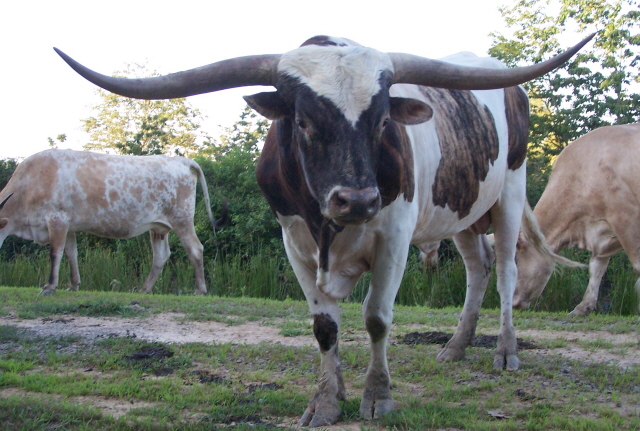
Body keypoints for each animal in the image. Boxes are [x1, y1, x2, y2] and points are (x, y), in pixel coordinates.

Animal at [0, 149, 227, 295]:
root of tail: (181, 161)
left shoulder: (57, 218)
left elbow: (55, 254)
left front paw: (49, 286)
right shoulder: (69, 225)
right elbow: (71, 253)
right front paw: (73, 285)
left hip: (182, 219)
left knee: (195, 249)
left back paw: (200, 290)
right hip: (159, 227)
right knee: (161, 256)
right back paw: (144, 289)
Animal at [55, 33, 593, 426]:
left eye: (382, 122)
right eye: (304, 122)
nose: (356, 200)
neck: (329, 225)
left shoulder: (394, 238)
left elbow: (377, 318)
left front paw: (376, 396)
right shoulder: (295, 242)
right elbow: (324, 327)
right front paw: (326, 401)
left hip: (511, 193)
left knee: (504, 272)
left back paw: (505, 351)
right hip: (461, 212)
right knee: (477, 270)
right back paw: (456, 347)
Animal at [513, 123, 640, 315]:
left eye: (516, 259)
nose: (512, 302)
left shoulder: (625, 217)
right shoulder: (602, 230)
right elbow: (596, 267)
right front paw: (582, 307)